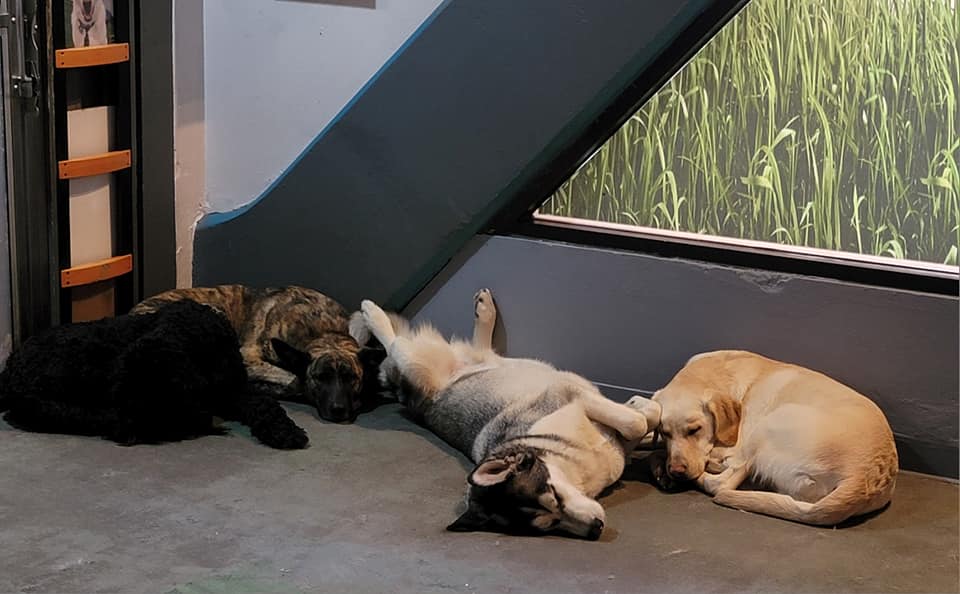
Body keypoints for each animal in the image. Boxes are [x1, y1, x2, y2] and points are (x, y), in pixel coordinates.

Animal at [0, 298, 308, 446]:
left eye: (149, 401)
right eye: (124, 399)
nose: (124, 434)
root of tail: (11, 370)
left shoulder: (234, 388)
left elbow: (265, 405)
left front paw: (285, 432)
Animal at [132, 284, 386, 418]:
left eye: (351, 378)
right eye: (320, 378)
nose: (338, 410)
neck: (324, 330)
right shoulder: (248, 357)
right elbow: (293, 378)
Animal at [652, 346, 900, 524]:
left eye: (695, 430)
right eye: (664, 432)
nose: (677, 471)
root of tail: (863, 477)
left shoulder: (737, 444)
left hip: (770, 424)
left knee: (723, 483)